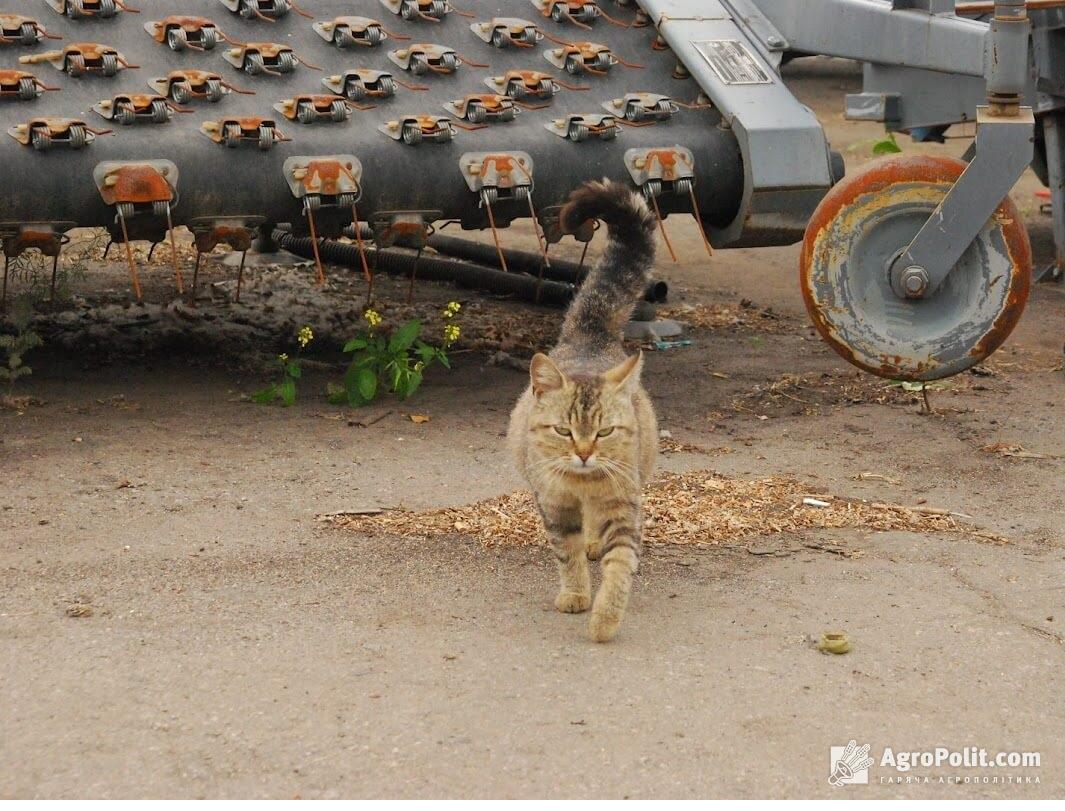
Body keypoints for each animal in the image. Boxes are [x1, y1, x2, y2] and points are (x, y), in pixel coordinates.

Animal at [506, 179, 656, 642]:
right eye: (563, 430)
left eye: (604, 432)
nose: (586, 453)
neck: (584, 484)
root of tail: (589, 333)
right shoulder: (555, 506)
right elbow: (566, 554)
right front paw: (575, 594)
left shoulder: (624, 505)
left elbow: (620, 564)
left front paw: (606, 617)